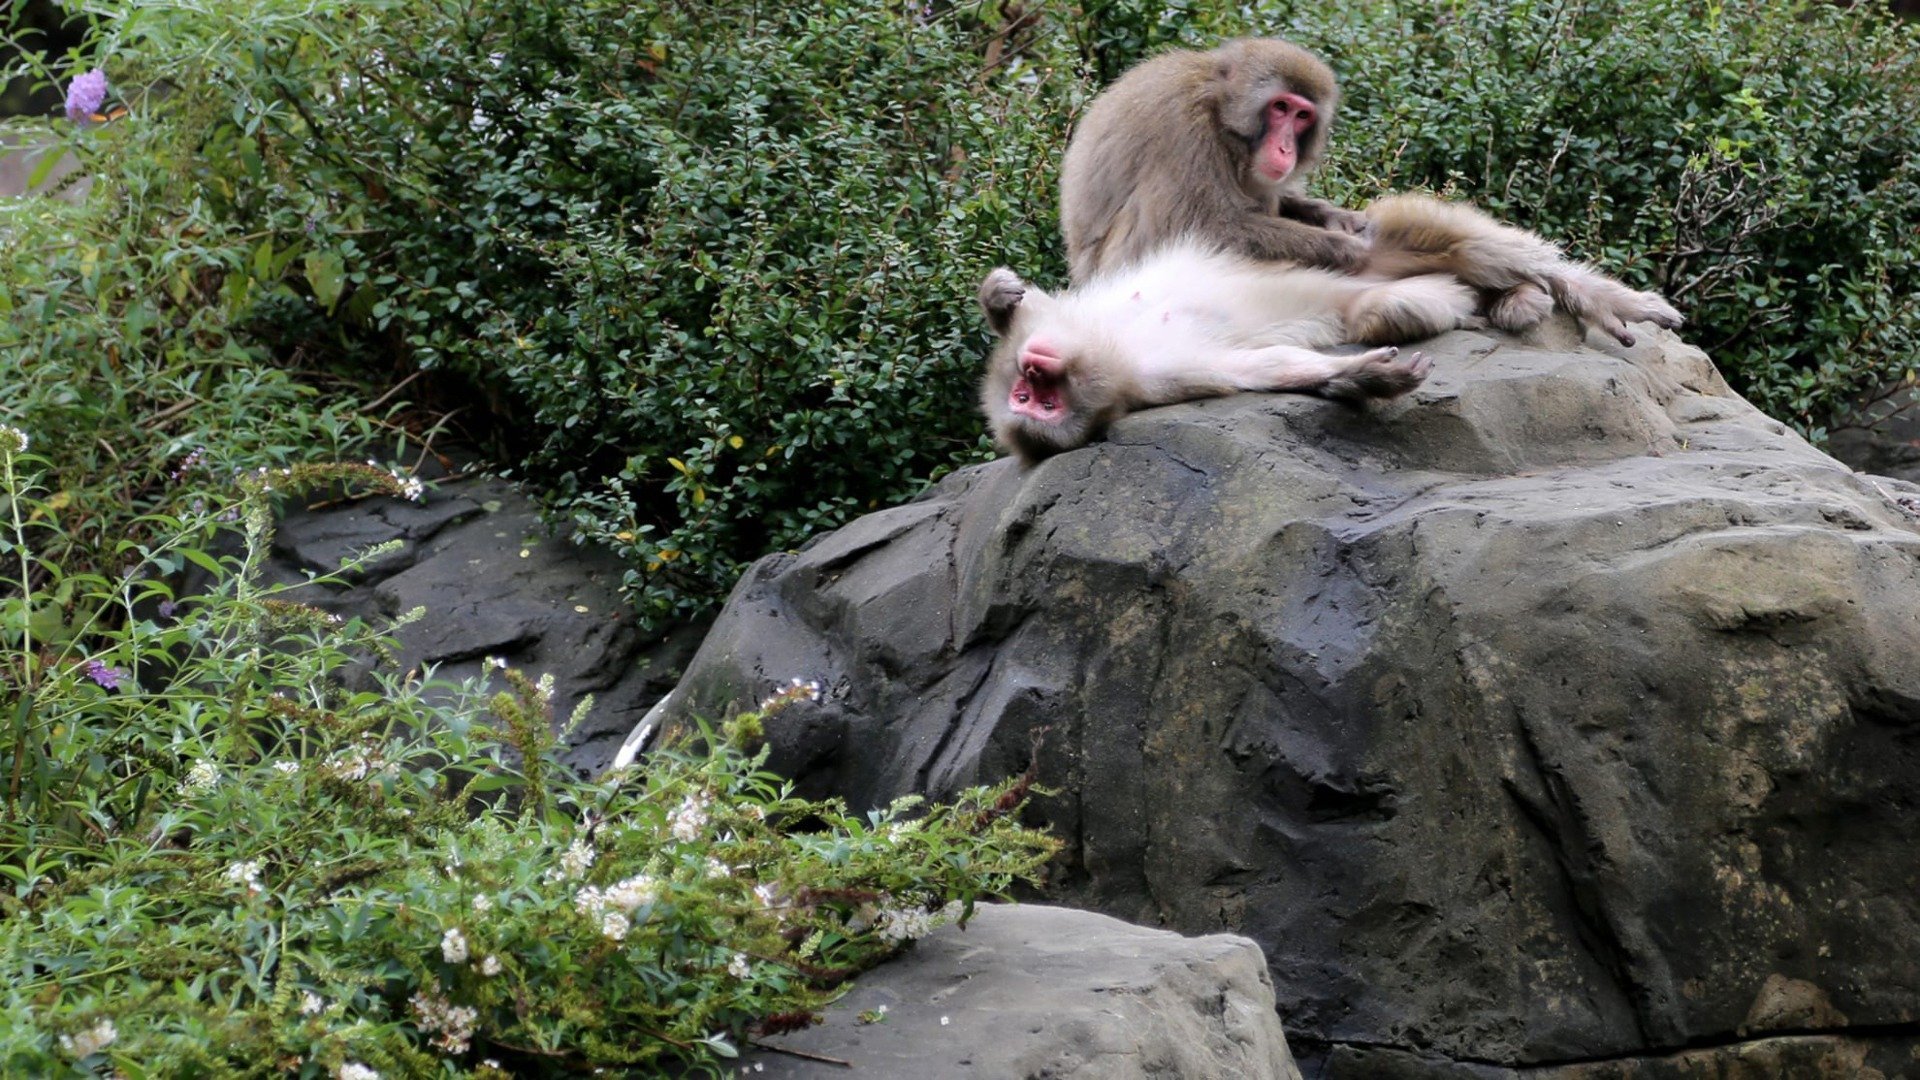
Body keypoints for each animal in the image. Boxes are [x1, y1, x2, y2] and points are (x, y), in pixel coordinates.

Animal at [977, 241, 1480, 463]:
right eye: (1033, 402)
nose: (1032, 368)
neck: (1110, 347)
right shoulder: (1162, 378)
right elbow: (1265, 367)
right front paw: (1362, 376)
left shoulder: (1052, 325)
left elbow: (1032, 308)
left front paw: (997, 296)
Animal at [1059, 38, 1683, 347]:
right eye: (1279, 107)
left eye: (1302, 116)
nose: (1285, 147)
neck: (1219, 108)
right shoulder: (1180, 127)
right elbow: (1196, 229)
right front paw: (1350, 248)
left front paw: (1338, 220)